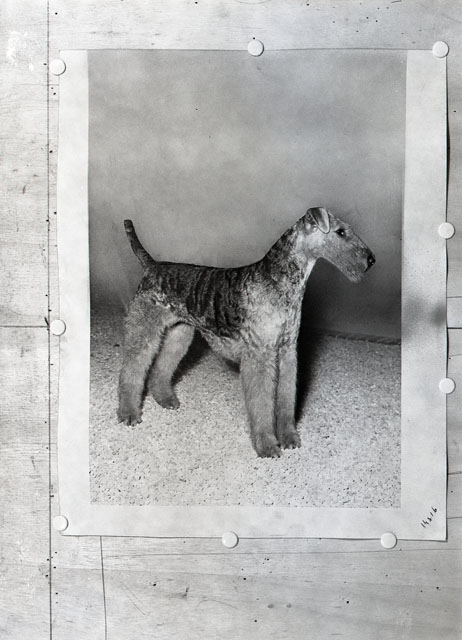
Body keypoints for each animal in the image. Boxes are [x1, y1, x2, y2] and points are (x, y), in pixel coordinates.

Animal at [117, 207, 375, 458]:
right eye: (340, 232)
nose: (371, 260)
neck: (279, 282)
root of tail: (152, 266)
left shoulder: (287, 351)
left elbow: (286, 398)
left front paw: (289, 437)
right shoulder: (259, 355)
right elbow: (261, 403)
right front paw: (267, 446)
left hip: (179, 333)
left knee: (161, 367)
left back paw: (165, 399)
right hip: (144, 327)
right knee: (132, 369)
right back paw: (128, 413)